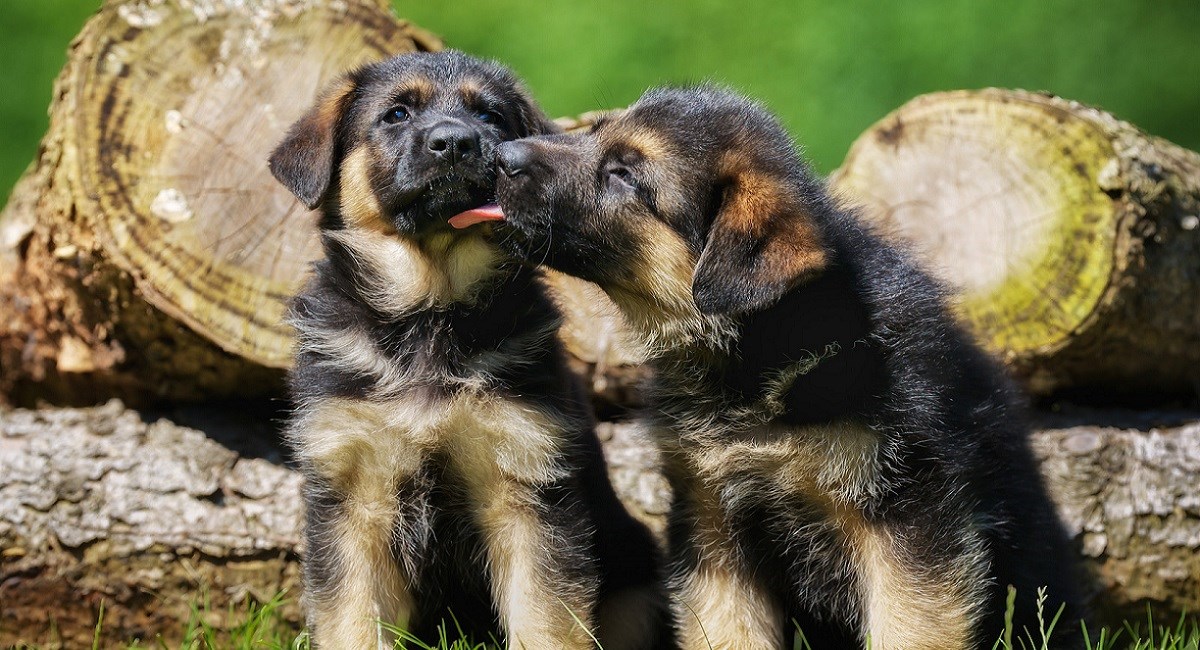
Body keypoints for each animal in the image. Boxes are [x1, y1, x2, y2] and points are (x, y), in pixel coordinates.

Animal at [270, 50, 667, 650]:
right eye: (396, 113)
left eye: (491, 117)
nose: (456, 142)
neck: (431, 315)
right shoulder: (350, 494)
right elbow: (351, 618)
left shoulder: (527, 486)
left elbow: (545, 620)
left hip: (636, 576)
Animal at [492, 86, 1084, 650]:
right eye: (594, 132)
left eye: (625, 174)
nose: (500, 155)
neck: (763, 349)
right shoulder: (714, 521)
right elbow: (728, 631)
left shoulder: (911, 512)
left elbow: (910, 627)